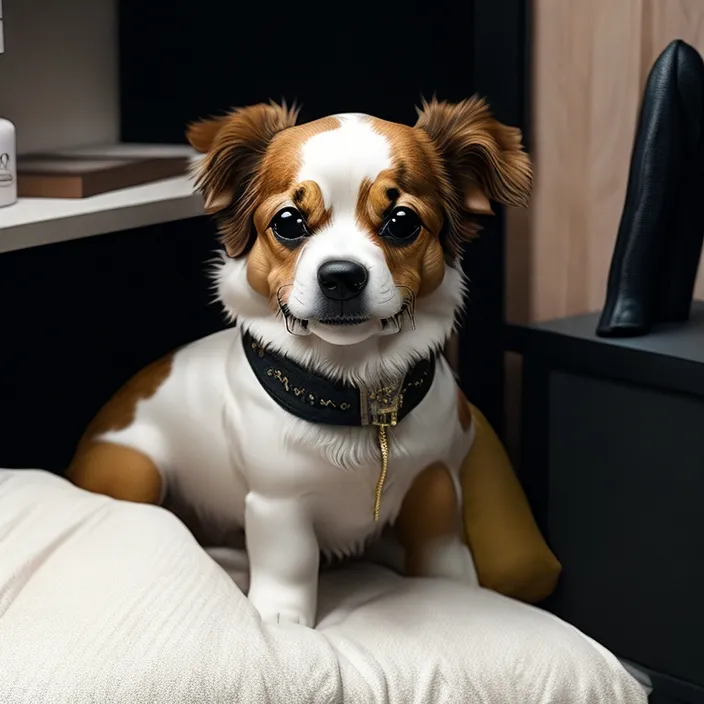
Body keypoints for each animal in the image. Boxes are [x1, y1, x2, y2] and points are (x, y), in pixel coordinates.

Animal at [69, 97, 532, 628]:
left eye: (401, 221)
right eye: (289, 221)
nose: (341, 276)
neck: (358, 393)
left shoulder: (435, 481)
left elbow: (443, 550)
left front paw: (455, 586)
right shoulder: (278, 505)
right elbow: (291, 562)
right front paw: (282, 619)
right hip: (135, 470)